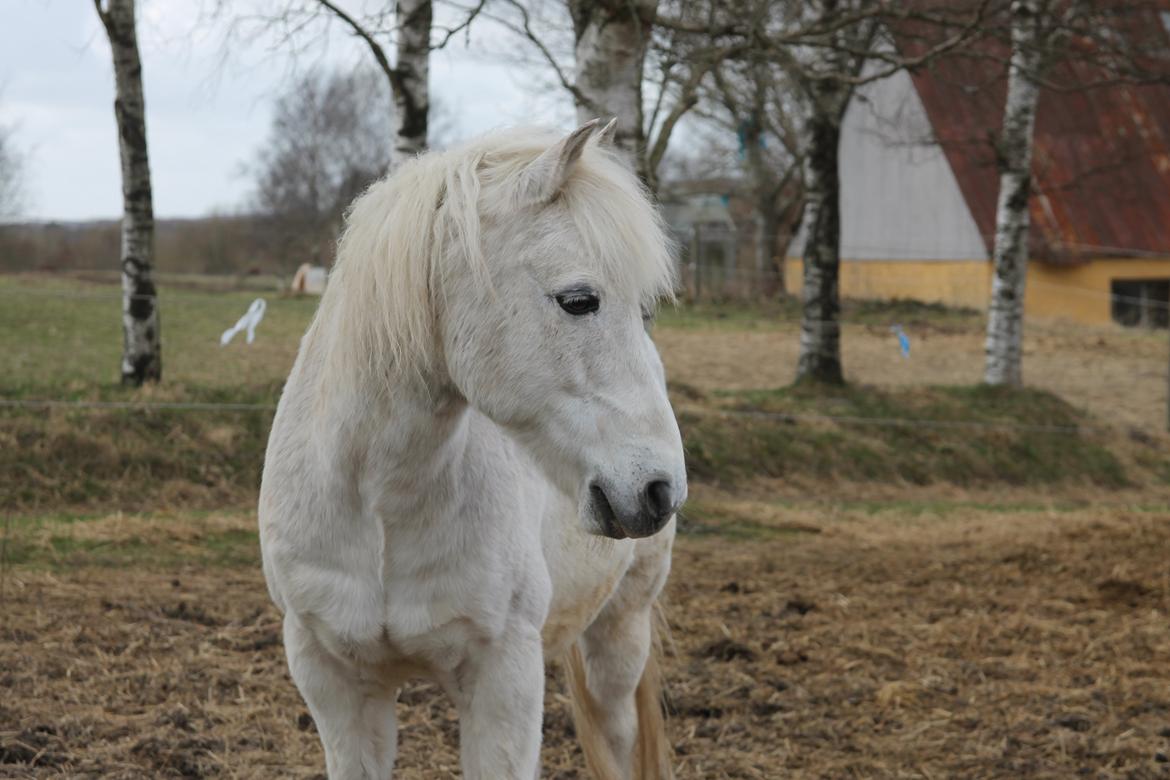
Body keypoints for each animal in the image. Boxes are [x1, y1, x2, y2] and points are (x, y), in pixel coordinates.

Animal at [260, 117, 683, 780]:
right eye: (579, 300)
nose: (661, 487)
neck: (379, 508)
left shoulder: (504, 680)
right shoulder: (335, 682)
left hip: (621, 631)